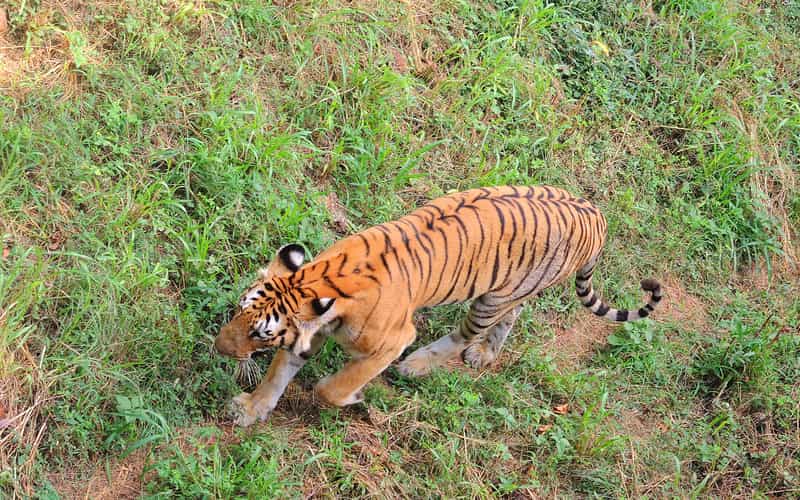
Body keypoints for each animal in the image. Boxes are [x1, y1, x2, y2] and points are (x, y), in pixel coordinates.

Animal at [214, 184, 664, 426]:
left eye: (260, 334)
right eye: (237, 310)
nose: (218, 348)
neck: (321, 282)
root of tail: (597, 215)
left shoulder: (391, 340)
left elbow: (332, 386)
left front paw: (353, 398)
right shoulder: (309, 332)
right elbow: (278, 374)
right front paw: (251, 409)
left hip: (490, 299)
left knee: (469, 330)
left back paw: (419, 364)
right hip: (514, 288)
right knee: (512, 316)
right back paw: (484, 355)